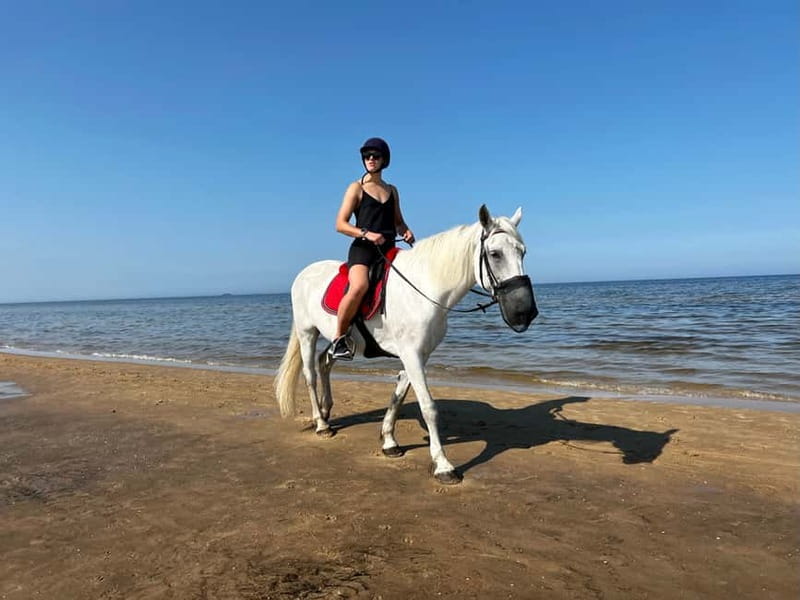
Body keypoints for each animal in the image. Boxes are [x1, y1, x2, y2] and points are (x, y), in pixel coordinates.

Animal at [274, 205, 538, 484]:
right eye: (495, 254)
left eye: (522, 251)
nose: (525, 312)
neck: (425, 288)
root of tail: (303, 274)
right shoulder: (411, 354)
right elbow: (428, 407)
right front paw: (443, 465)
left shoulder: (419, 355)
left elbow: (399, 396)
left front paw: (389, 441)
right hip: (307, 333)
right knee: (310, 375)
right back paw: (321, 424)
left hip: (339, 340)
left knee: (325, 362)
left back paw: (326, 412)